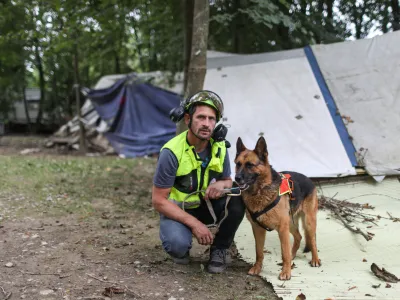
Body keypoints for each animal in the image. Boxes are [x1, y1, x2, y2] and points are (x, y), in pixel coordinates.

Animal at [234, 137, 322, 280]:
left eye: (250, 165)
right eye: (238, 164)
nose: (236, 178)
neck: (260, 191)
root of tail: (309, 179)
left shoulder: (282, 228)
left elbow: (284, 253)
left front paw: (286, 272)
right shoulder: (258, 228)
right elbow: (259, 252)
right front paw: (257, 268)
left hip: (308, 222)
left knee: (312, 240)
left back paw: (315, 259)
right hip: (290, 223)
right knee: (298, 237)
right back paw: (293, 255)